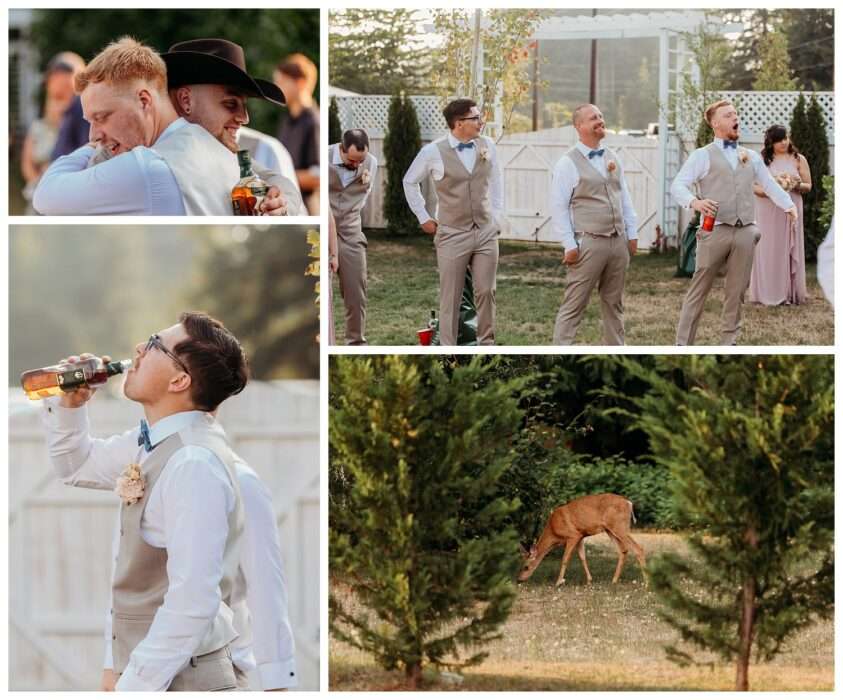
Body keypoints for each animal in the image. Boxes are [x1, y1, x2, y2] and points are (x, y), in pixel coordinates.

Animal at [516, 494, 648, 588]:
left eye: (526, 567)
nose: (519, 579)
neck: (553, 531)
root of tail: (629, 503)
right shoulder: (581, 536)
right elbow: (582, 557)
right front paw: (589, 581)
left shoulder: (572, 535)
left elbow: (565, 559)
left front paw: (558, 582)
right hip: (610, 529)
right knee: (623, 550)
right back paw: (614, 581)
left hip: (619, 526)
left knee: (638, 548)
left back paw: (646, 583)